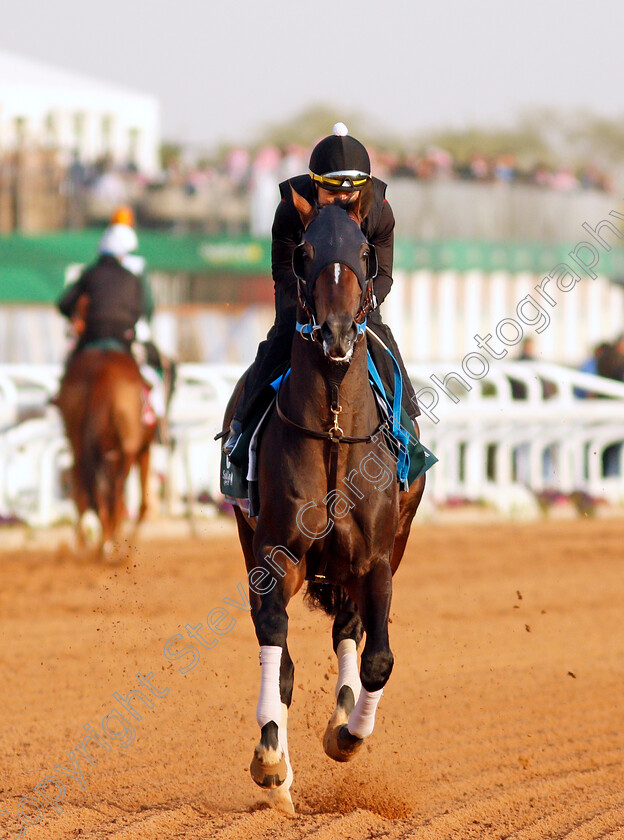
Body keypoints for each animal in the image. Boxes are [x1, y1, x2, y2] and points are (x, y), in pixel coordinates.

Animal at [56, 344, 155, 560]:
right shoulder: (141, 449)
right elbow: (139, 502)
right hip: (123, 450)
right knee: (116, 494)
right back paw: (114, 546)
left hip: (85, 450)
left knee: (94, 495)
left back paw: (103, 544)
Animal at [227, 185, 426, 812]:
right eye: (305, 251)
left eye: (364, 251)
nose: (337, 335)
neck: (335, 429)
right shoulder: (275, 554)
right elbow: (277, 648)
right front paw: (271, 763)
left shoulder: (377, 558)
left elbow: (379, 658)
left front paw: (347, 736)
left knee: (349, 631)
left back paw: (342, 715)